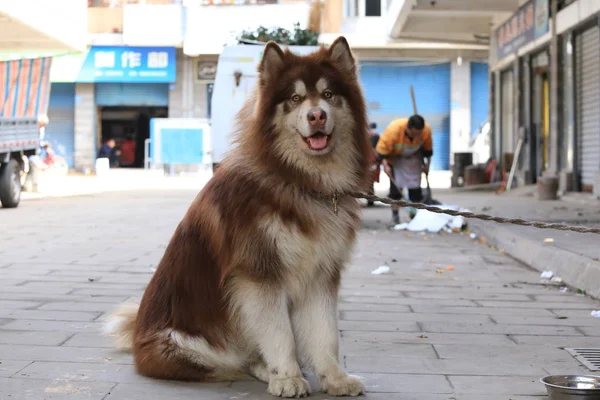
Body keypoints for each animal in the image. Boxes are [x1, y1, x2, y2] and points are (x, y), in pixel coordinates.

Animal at [105, 36, 372, 396]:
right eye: (295, 98)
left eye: (328, 95)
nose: (316, 116)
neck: (301, 182)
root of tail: (136, 339)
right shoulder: (258, 275)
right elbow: (280, 334)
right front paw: (287, 376)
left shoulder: (320, 273)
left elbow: (325, 333)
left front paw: (334, 377)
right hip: (188, 344)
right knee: (230, 360)